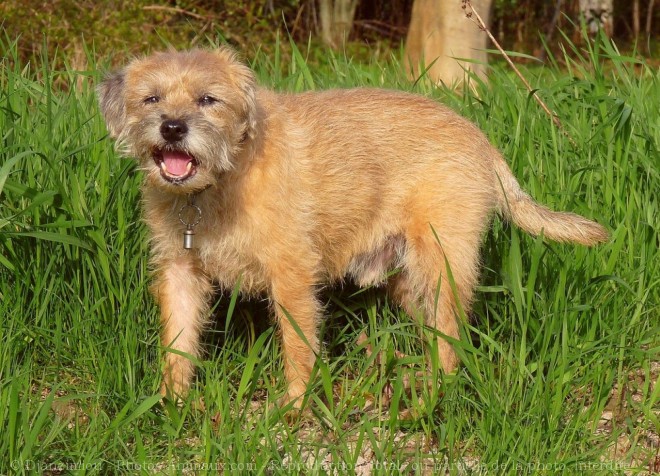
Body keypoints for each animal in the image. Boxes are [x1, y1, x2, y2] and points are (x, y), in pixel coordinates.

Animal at [98, 48, 608, 410]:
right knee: (437, 334)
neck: (216, 186)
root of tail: (479, 139)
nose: (172, 127)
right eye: (151, 98)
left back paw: (430, 400)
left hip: (441, 266)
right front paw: (171, 403)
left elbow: (298, 345)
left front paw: (293, 407)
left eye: (208, 99)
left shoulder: (292, 276)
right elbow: (178, 342)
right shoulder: (180, 273)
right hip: (411, 281)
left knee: (451, 338)